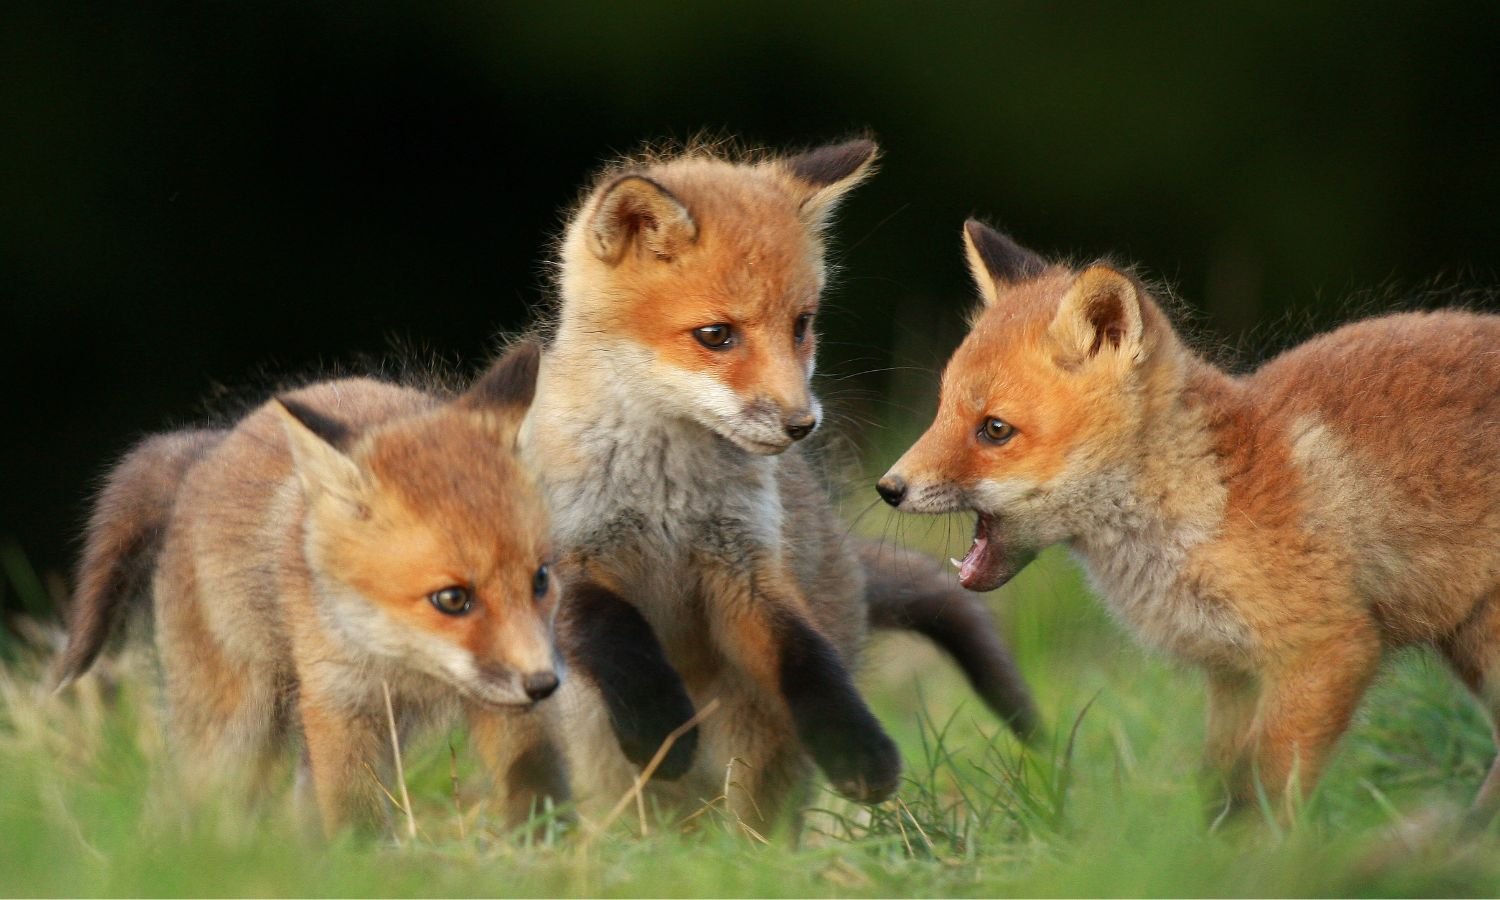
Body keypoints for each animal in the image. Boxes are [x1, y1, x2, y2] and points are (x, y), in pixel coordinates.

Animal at [53, 342, 697, 833]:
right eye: (452, 599)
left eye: (540, 580)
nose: (543, 683)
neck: (408, 665)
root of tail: (208, 450)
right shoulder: (340, 701)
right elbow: (356, 816)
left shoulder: (513, 699)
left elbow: (537, 786)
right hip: (235, 731)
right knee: (190, 799)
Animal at [523, 139, 1038, 829]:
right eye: (715, 335)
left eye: (801, 325)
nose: (802, 424)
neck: (666, 494)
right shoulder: (569, 557)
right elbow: (617, 634)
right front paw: (661, 724)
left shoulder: (745, 568)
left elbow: (804, 659)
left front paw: (860, 752)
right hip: (606, 759)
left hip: (760, 748)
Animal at [878, 218, 1500, 823]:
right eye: (940, 411)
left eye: (994, 430)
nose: (887, 488)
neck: (1208, 502)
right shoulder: (1232, 675)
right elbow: (1219, 788)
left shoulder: (1326, 650)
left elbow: (1271, 789)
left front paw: (1271, 852)